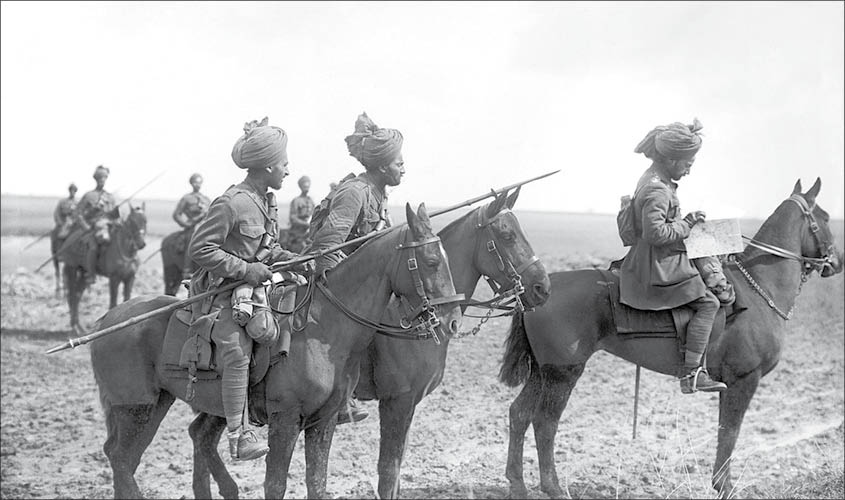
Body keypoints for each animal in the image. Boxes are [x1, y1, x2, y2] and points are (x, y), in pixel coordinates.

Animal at [61, 205, 148, 334]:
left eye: (145, 221)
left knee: (77, 295)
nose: (141, 243)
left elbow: (127, 299)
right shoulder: (114, 278)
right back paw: (74, 327)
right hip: (71, 268)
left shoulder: (130, 278)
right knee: (72, 296)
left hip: (84, 274)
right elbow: (113, 302)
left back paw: (80, 328)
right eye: (131, 222)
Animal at [87, 203, 462, 500]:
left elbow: (317, 483)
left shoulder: (324, 421)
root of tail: (107, 318)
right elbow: (277, 484)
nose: (452, 320)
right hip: (135, 408)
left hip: (154, 405)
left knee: (132, 455)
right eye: (431, 260)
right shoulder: (287, 420)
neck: (323, 331)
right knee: (122, 459)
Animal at [346, 187, 552, 496]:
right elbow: (388, 471)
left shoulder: (410, 405)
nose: (543, 288)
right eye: (507, 235)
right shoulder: (397, 402)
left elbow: (396, 470)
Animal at [498, 178, 840, 498]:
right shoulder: (744, 381)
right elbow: (729, 432)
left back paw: (517, 485)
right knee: (545, 423)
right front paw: (725, 487)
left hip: (542, 373)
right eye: (824, 217)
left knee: (519, 414)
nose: (837, 261)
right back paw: (553, 487)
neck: (759, 288)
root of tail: (537, 292)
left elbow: (725, 431)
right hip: (562, 375)